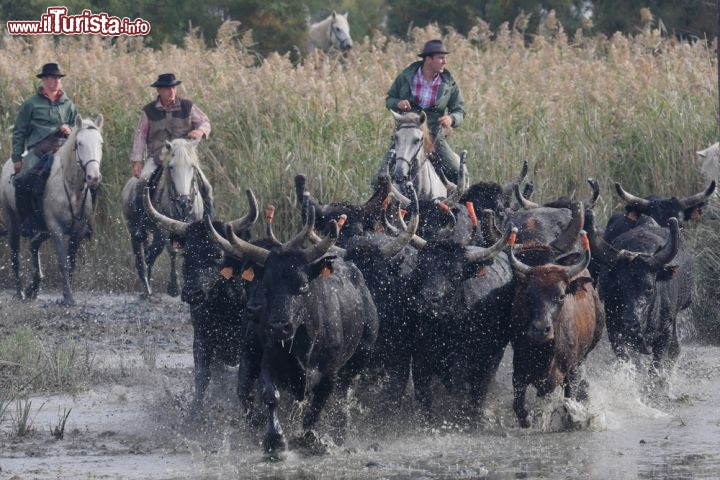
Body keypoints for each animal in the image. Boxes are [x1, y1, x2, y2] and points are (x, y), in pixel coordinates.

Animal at [0, 114, 104, 306]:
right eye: (79, 143)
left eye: (100, 143)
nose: (93, 177)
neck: (71, 188)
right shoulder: (56, 229)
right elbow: (63, 262)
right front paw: (68, 297)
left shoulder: (78, 232)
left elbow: (71, 263)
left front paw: (66, 294)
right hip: (13, 222)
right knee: (15, 256)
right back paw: (20, 293)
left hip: (42, 229)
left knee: (34, 245)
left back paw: (33, 287)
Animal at [119, 137, 211, 298]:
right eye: (171, 167)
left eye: (192, 166)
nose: (184, 202)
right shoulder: (166, 230)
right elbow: (172, 251)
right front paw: (174, 287)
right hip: (134, 230)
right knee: (141, 259)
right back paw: (146, 289)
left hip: (154, 233)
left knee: (151, 253)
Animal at [510, 231, 604, 430]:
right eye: (528, 295)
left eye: (560, 296)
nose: (540, 329)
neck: (544, 353)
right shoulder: (519, 367)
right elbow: (519, 406)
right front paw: (528, 419)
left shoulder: (570, 371)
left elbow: (569, 403)